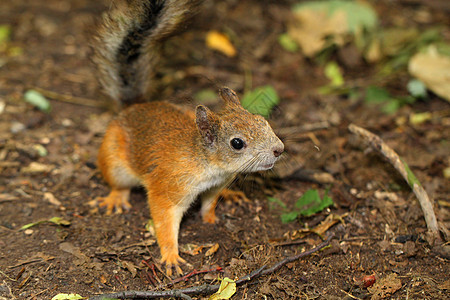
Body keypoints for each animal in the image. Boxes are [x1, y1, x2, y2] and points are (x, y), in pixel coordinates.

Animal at [91, 0, 284, 274]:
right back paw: (116, 198)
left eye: (262, 120)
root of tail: (134, 107)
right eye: (237, 143)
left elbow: (210, 202)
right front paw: (171, 256)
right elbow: (164, 221)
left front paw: (210, 217)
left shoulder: (216, 184)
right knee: (117, 182)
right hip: (114, 160)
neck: (207, 164)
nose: (279, 149)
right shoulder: (168, 188)